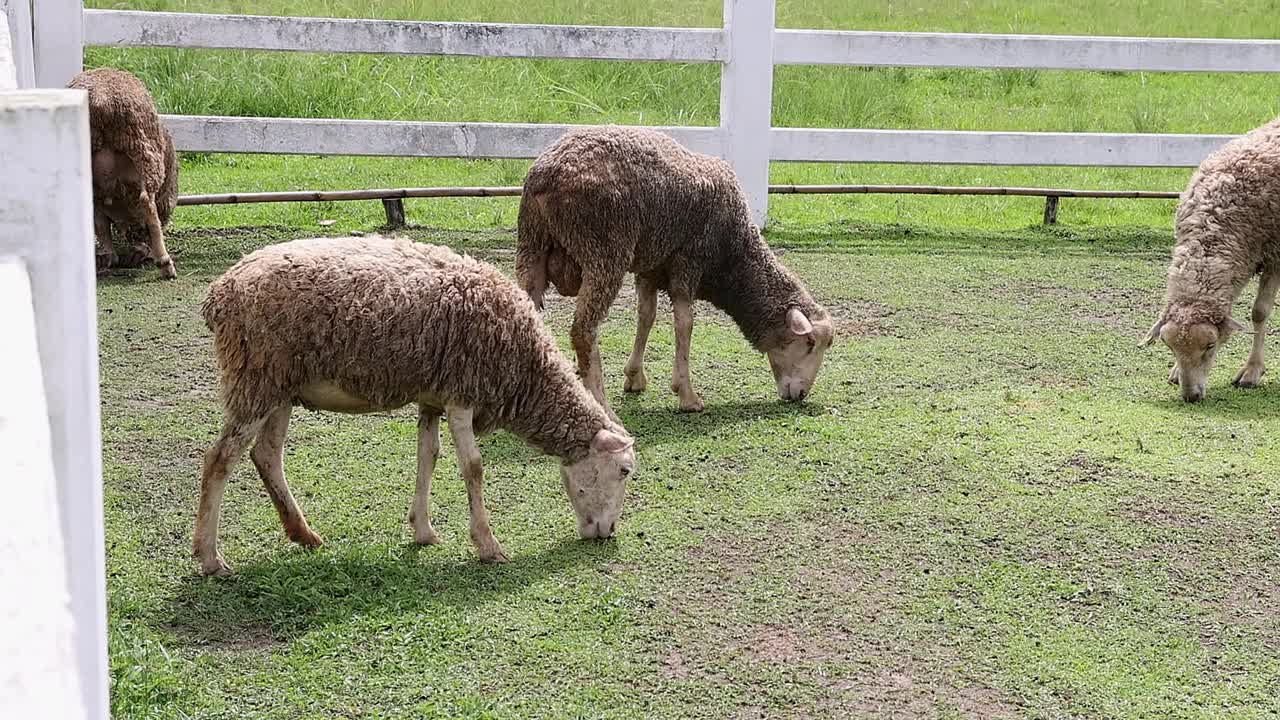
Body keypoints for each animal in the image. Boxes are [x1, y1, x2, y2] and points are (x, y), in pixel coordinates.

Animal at [68, 67, 179, 279]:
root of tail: (99, 98)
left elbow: (101, 225)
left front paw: (109, 255)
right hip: (145, 153)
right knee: (147, 203)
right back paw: (165, 263)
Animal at [193, 233, 634, 573]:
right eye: (625, 471)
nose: (606, 533)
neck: (525, 371)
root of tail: (219, 292)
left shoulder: (433, 398)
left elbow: (429, 455)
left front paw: (423, 530)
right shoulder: (462, 393)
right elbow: (473, 468)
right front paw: (488, 546)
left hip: (279, 387)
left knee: (267, 455)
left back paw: (304, 534)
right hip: (254, 379)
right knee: (220, 459)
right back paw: (210, 557)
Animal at [514, 124, 834, 415]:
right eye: (809, 343)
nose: (801, 395)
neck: (732, 254)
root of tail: (547, 175)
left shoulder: (651, 267)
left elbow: (646, 317)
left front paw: (635, 377)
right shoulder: (688, 261)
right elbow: (685, 323)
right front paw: (686, 394)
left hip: (532, 245)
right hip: (603, 253)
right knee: (583, 331)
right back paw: (601, 404)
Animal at [1141, 114, 1280, 399]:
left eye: (1210, 345)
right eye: (1170, 347)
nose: (1191, 396)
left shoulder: (1274, 255)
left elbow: (1259, 312)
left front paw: (1252, 371)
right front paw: (1175, 372)